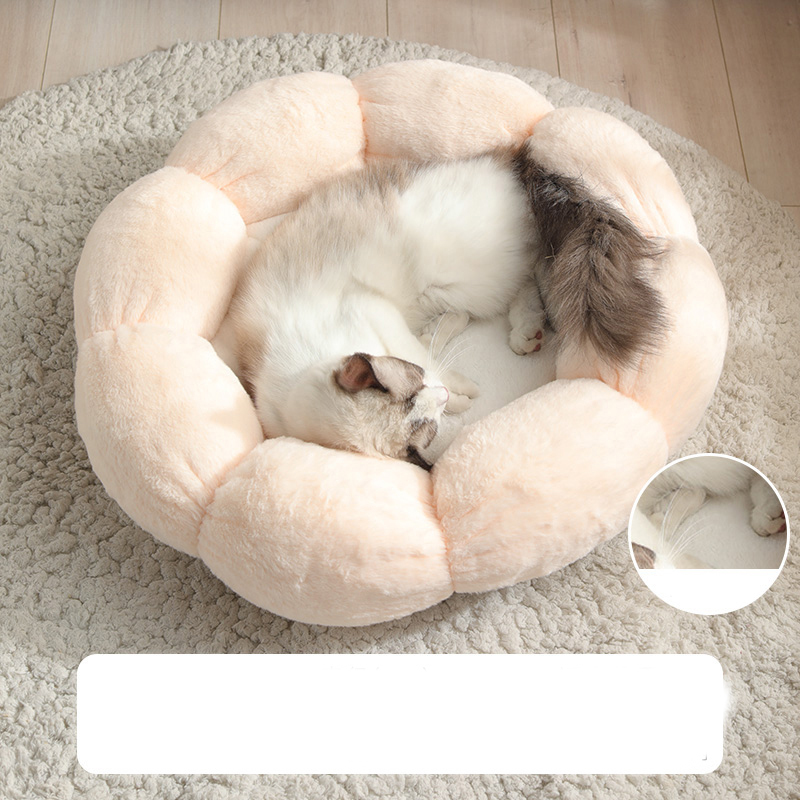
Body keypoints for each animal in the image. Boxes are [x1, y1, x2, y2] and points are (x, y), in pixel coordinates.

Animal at [227, 142, 666, 468]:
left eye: (412, 385)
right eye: (425, 422)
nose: (436, 394)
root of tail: (515, 164)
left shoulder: (373, 311)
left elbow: (426, 355)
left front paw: (461, 388)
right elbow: (431, 352)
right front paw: (456, 390)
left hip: (467, 278)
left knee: (533, 272)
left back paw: (523, 331)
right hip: (451, 289)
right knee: (529, 279)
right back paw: (524, 334)